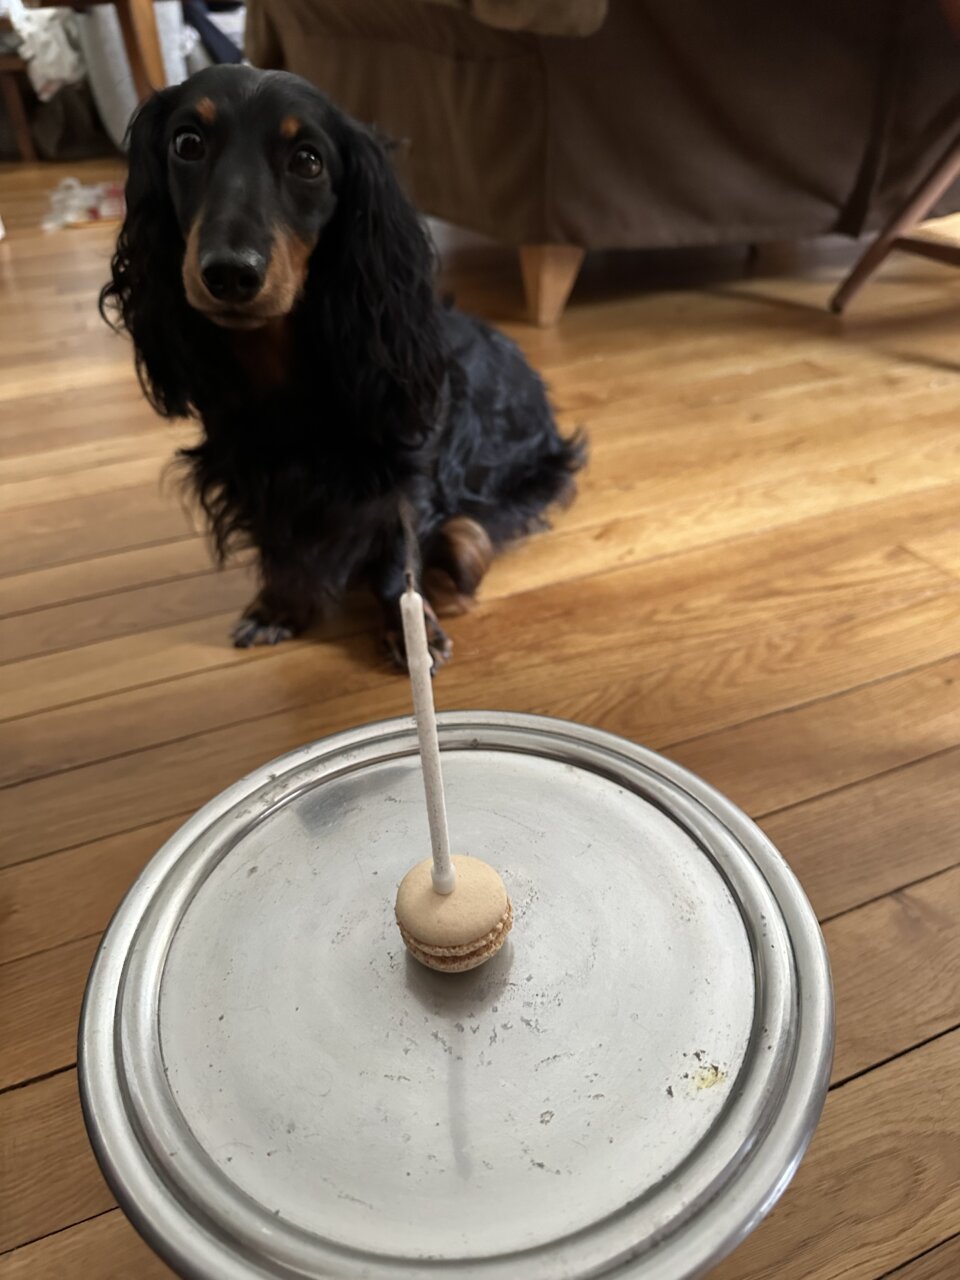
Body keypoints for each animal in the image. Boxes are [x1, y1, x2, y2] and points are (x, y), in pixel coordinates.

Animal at [104, 66, 586, 670]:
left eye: (308, 161)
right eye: (186, 143)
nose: (231, 274)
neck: (287, 373)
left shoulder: (402, 466)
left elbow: (398, 554)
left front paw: (410, 629)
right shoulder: (250, 467)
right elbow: (279, 545)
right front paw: (281, 607)